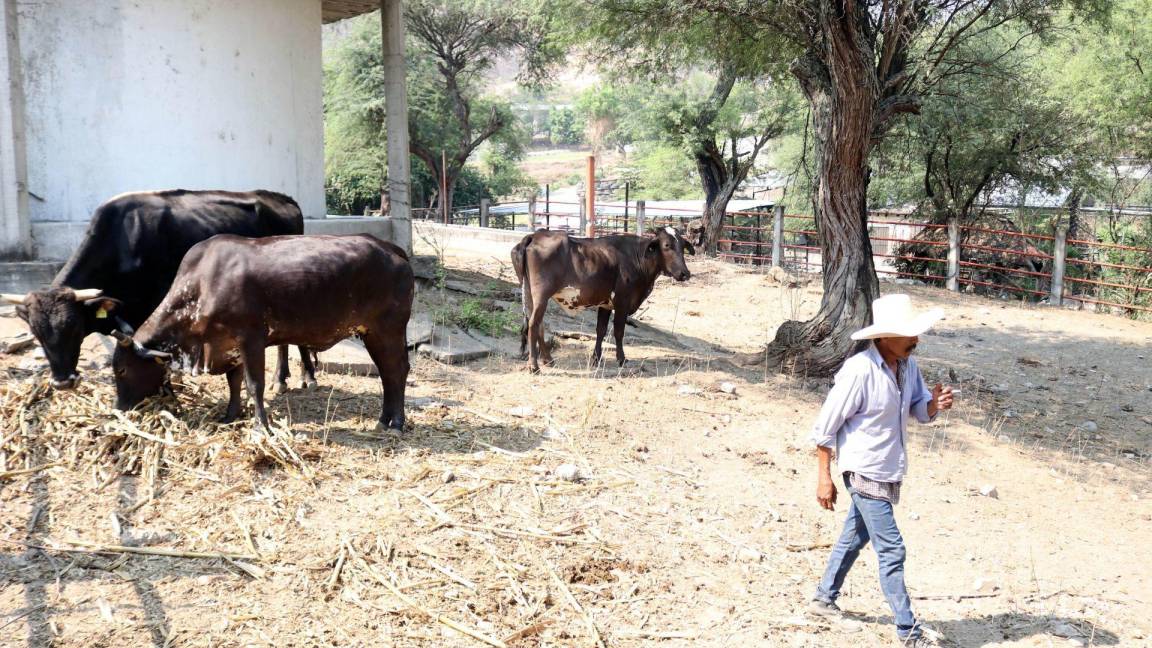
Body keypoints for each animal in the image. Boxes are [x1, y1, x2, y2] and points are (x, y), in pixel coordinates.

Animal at [111, 234, 414, 431]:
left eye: (122, 370)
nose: (118, 409)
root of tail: (391, 248)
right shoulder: (228, 345)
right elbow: (234, 383)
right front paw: (230, 415)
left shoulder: (251, 339)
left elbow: (253, 384)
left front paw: (260, 426)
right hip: (372, 333)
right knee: (387, 374)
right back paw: (383, 420)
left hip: (388, 330)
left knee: (396, 371)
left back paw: (396, 423)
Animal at [513, 227, 691, 371]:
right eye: (666, 245)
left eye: (683, 246)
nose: (685, 273)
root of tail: (534, 235)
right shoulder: (622, 301)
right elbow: (618, 331)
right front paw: (621, 359)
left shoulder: (605, 304)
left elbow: (601, 330)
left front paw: (596, 359)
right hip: (541, 295)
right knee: (533, 324)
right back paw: (534, 366)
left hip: (529, 293)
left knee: (538, 325)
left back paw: (548, 360)